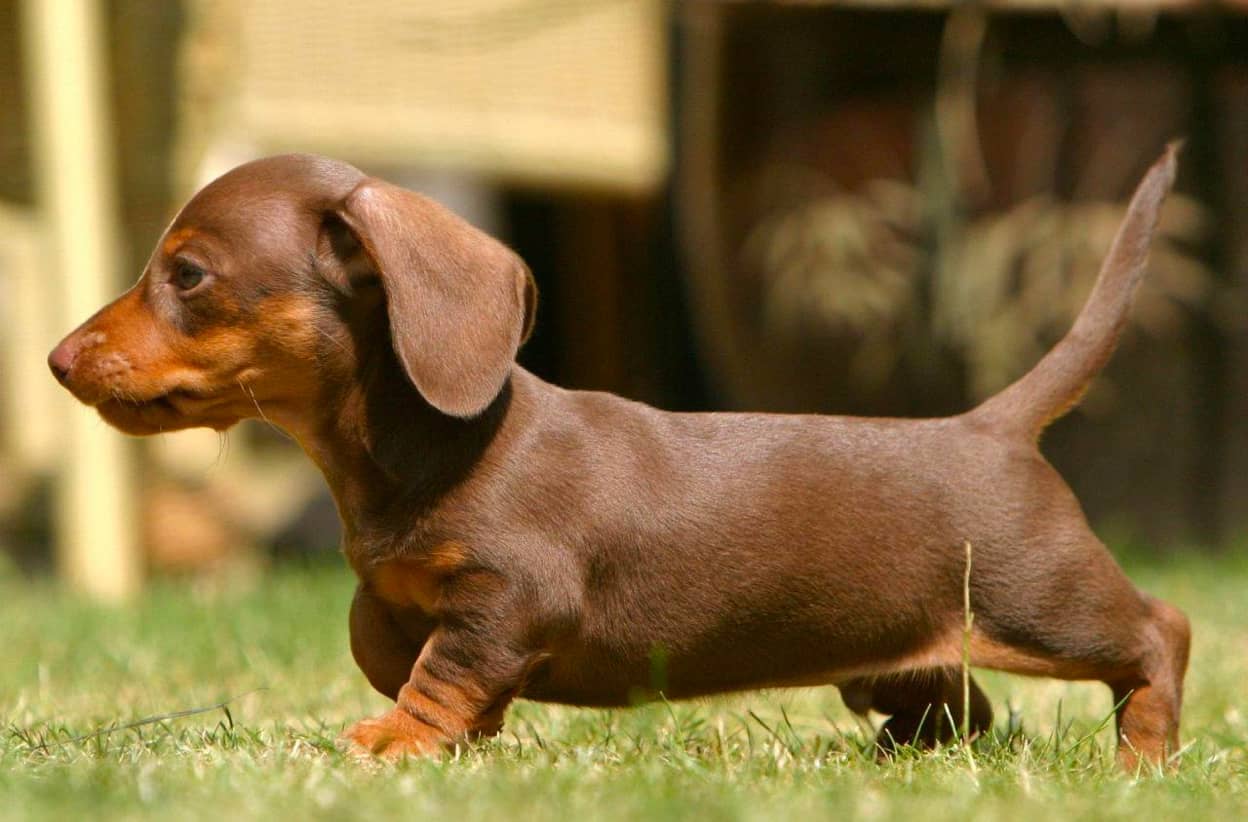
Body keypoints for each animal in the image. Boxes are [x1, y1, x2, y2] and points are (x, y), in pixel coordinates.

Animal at [48, 144, 1188, 768]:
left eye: (187, 274)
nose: (57, 359)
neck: (410, 449)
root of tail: (990, 425)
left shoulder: (511, 597)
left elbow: (439, 669)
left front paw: (402, 743)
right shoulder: (407, 596)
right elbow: (378, 633)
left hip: (1043, 601)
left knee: (1155, 634)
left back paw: (1143, 757)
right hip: (899, 653)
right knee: (957, 707)